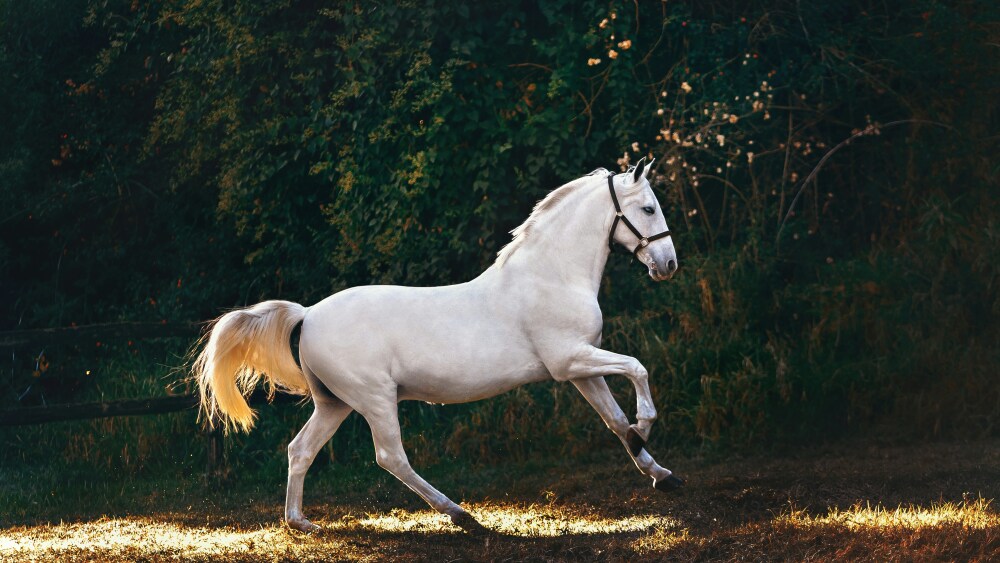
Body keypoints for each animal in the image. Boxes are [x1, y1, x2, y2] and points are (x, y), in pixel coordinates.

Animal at [193, 157, 683, 534]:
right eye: (648, 208)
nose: (668, 265)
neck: (551, 276)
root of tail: (308, 314)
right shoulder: (570, 361)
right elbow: (637, 369)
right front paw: (646, 426)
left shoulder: (582, 369)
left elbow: (615, 421)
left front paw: (660, 473)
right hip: (374, 398)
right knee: (391, 457)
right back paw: (461, 515)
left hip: (334, 403)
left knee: (301, 450)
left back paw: (301, 522)